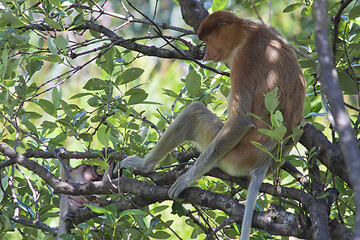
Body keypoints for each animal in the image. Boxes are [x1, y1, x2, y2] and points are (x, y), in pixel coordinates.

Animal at [119, 10, 306, 239]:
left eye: (208, 40)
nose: (206, 55)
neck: (247, 31)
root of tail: (264, 162)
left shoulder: (244, 58)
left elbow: (240, 122)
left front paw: (185, 179)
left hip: (234, 156)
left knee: (195, 111)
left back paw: (144, 166)